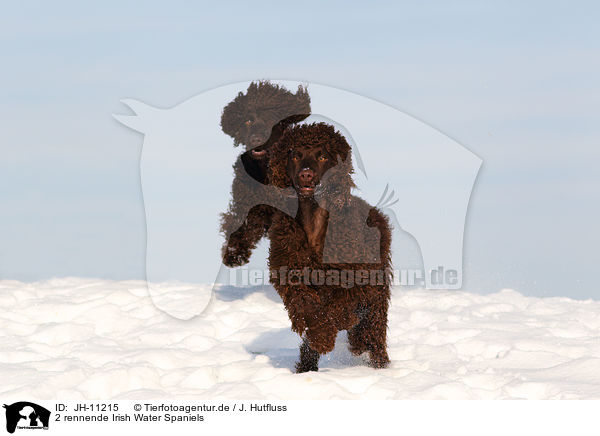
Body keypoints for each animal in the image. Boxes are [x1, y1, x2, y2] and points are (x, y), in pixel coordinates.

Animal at [221, 81, 314, 266]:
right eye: (248, 120)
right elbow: (239, 223)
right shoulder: (247, 202)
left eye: (272, 119)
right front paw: (234, 253)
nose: (257, 139)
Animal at [268, 122, 394, 372]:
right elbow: (306, 306)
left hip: (378, 289)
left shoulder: (355, 279)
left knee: (374, 330)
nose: (306, 174)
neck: (313, 219)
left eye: (323, 156)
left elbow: (337, 309)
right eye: (295, 155)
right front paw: (319, 337)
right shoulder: (289, 272)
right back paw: (307, 366)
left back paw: (377, 361)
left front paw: (327, 334)